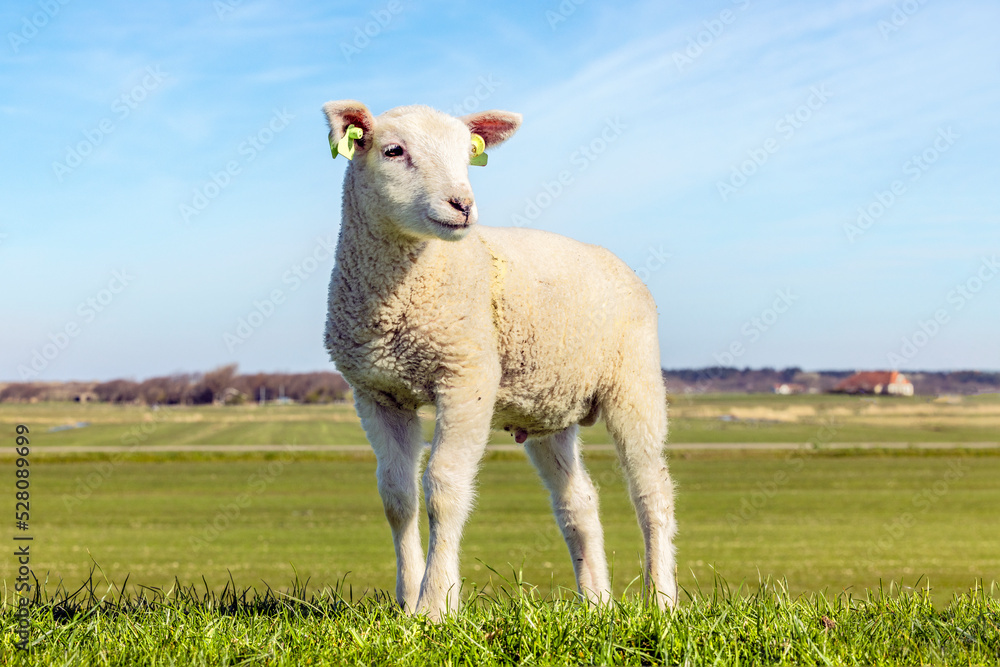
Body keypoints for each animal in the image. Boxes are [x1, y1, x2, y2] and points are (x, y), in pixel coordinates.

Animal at [322, 100, 677, 621]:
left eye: (467, 156)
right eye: (393, 151)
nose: (462, 205)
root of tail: (615, 260)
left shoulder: (468, 376)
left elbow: (444, 488)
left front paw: (436, 604)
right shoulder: (376, 393)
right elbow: (397, 496)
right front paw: (408, 602)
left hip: (634, 381)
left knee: (652, 492)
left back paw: (662, 600)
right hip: (549, 408)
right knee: (579, 502)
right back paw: (595, 603)